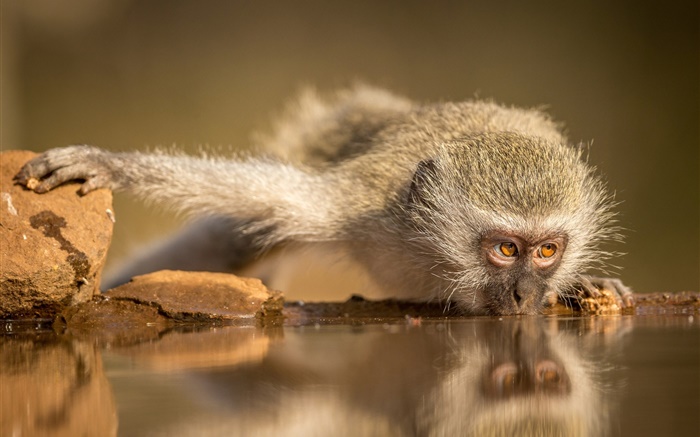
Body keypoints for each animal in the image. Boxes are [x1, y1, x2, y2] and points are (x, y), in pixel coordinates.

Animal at [15, 84, 636, 314]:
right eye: (507, 250)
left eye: (548, 251)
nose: (527, 295)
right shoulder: (359, 207)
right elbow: (242, 191)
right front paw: (109, 162)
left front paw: (584, 284)